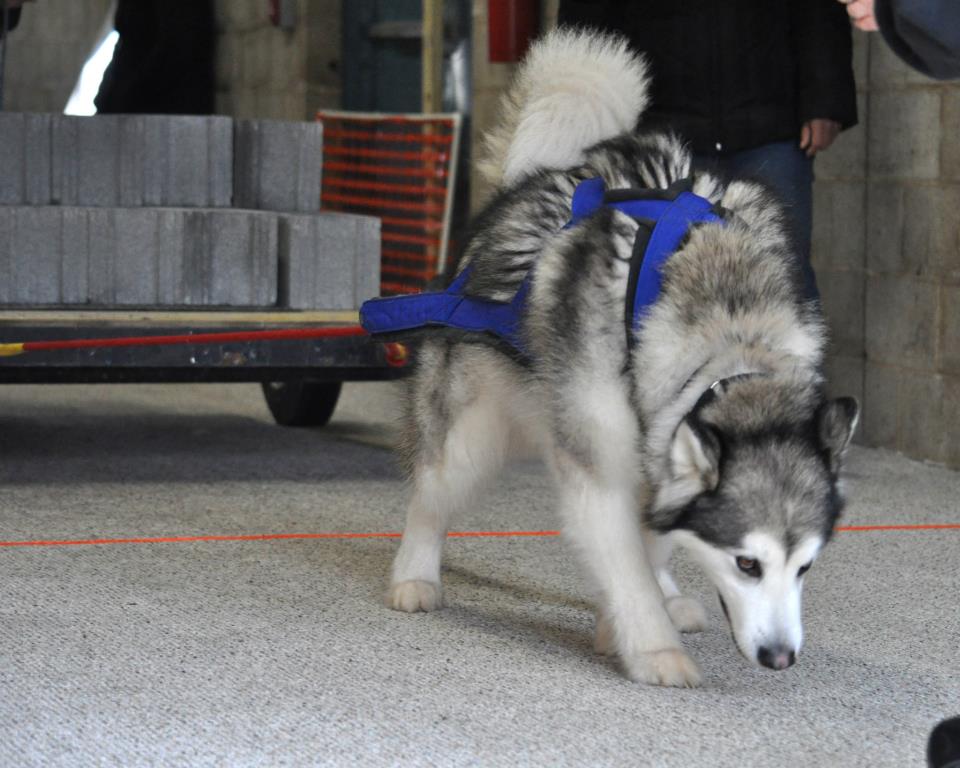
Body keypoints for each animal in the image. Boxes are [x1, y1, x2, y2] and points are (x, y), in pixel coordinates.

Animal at [386, 28, 860, 688]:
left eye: (805, 567)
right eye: (747, 564)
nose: (780, 658)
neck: (731, 325)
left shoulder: (659, 446)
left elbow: (652, 542)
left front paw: (631, 617)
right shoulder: (600, 466)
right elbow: (626, 564)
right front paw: (653, 646)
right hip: (471, 431)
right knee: (432, 492)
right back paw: (415, 574)